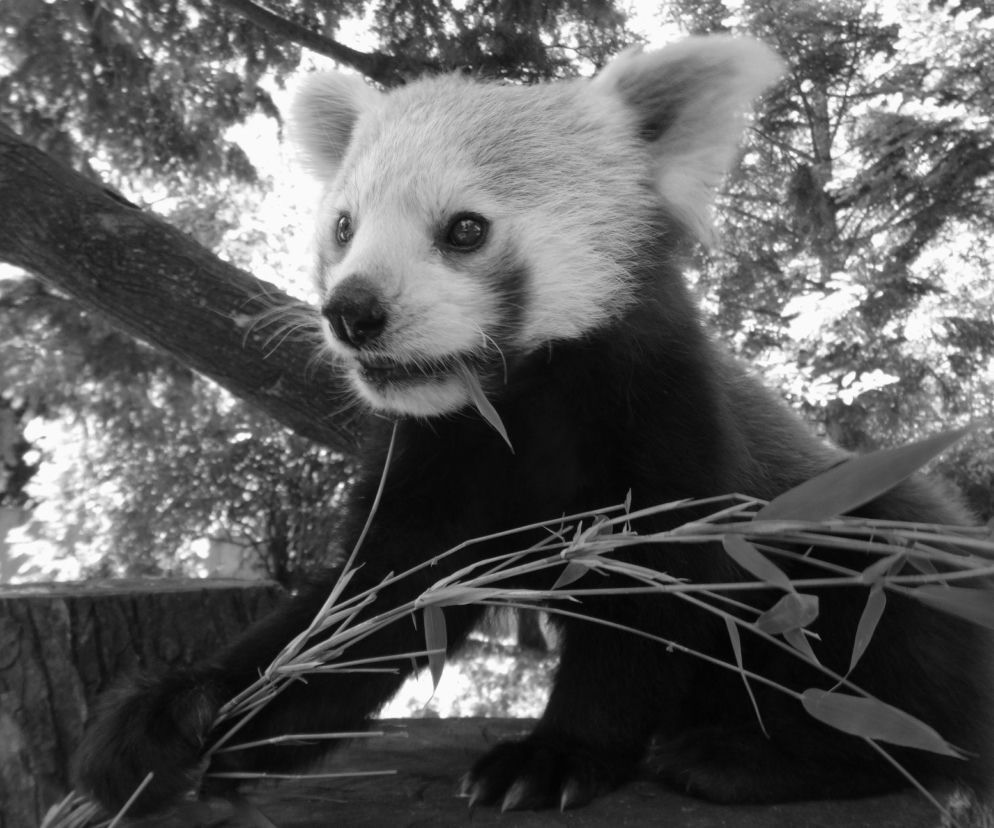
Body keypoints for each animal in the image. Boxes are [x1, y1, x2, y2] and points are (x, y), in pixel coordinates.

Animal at [75, 36, 994, 817]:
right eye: (343, 227)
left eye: (465, 230)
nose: (352, 312)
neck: (518, 404)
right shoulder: (437, 460)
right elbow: (370, 608)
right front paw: (183, 715)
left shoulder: (665, 419)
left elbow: (648, 607)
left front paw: (554, 756)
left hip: (870, 539)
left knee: (908, 660)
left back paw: (753, 755)